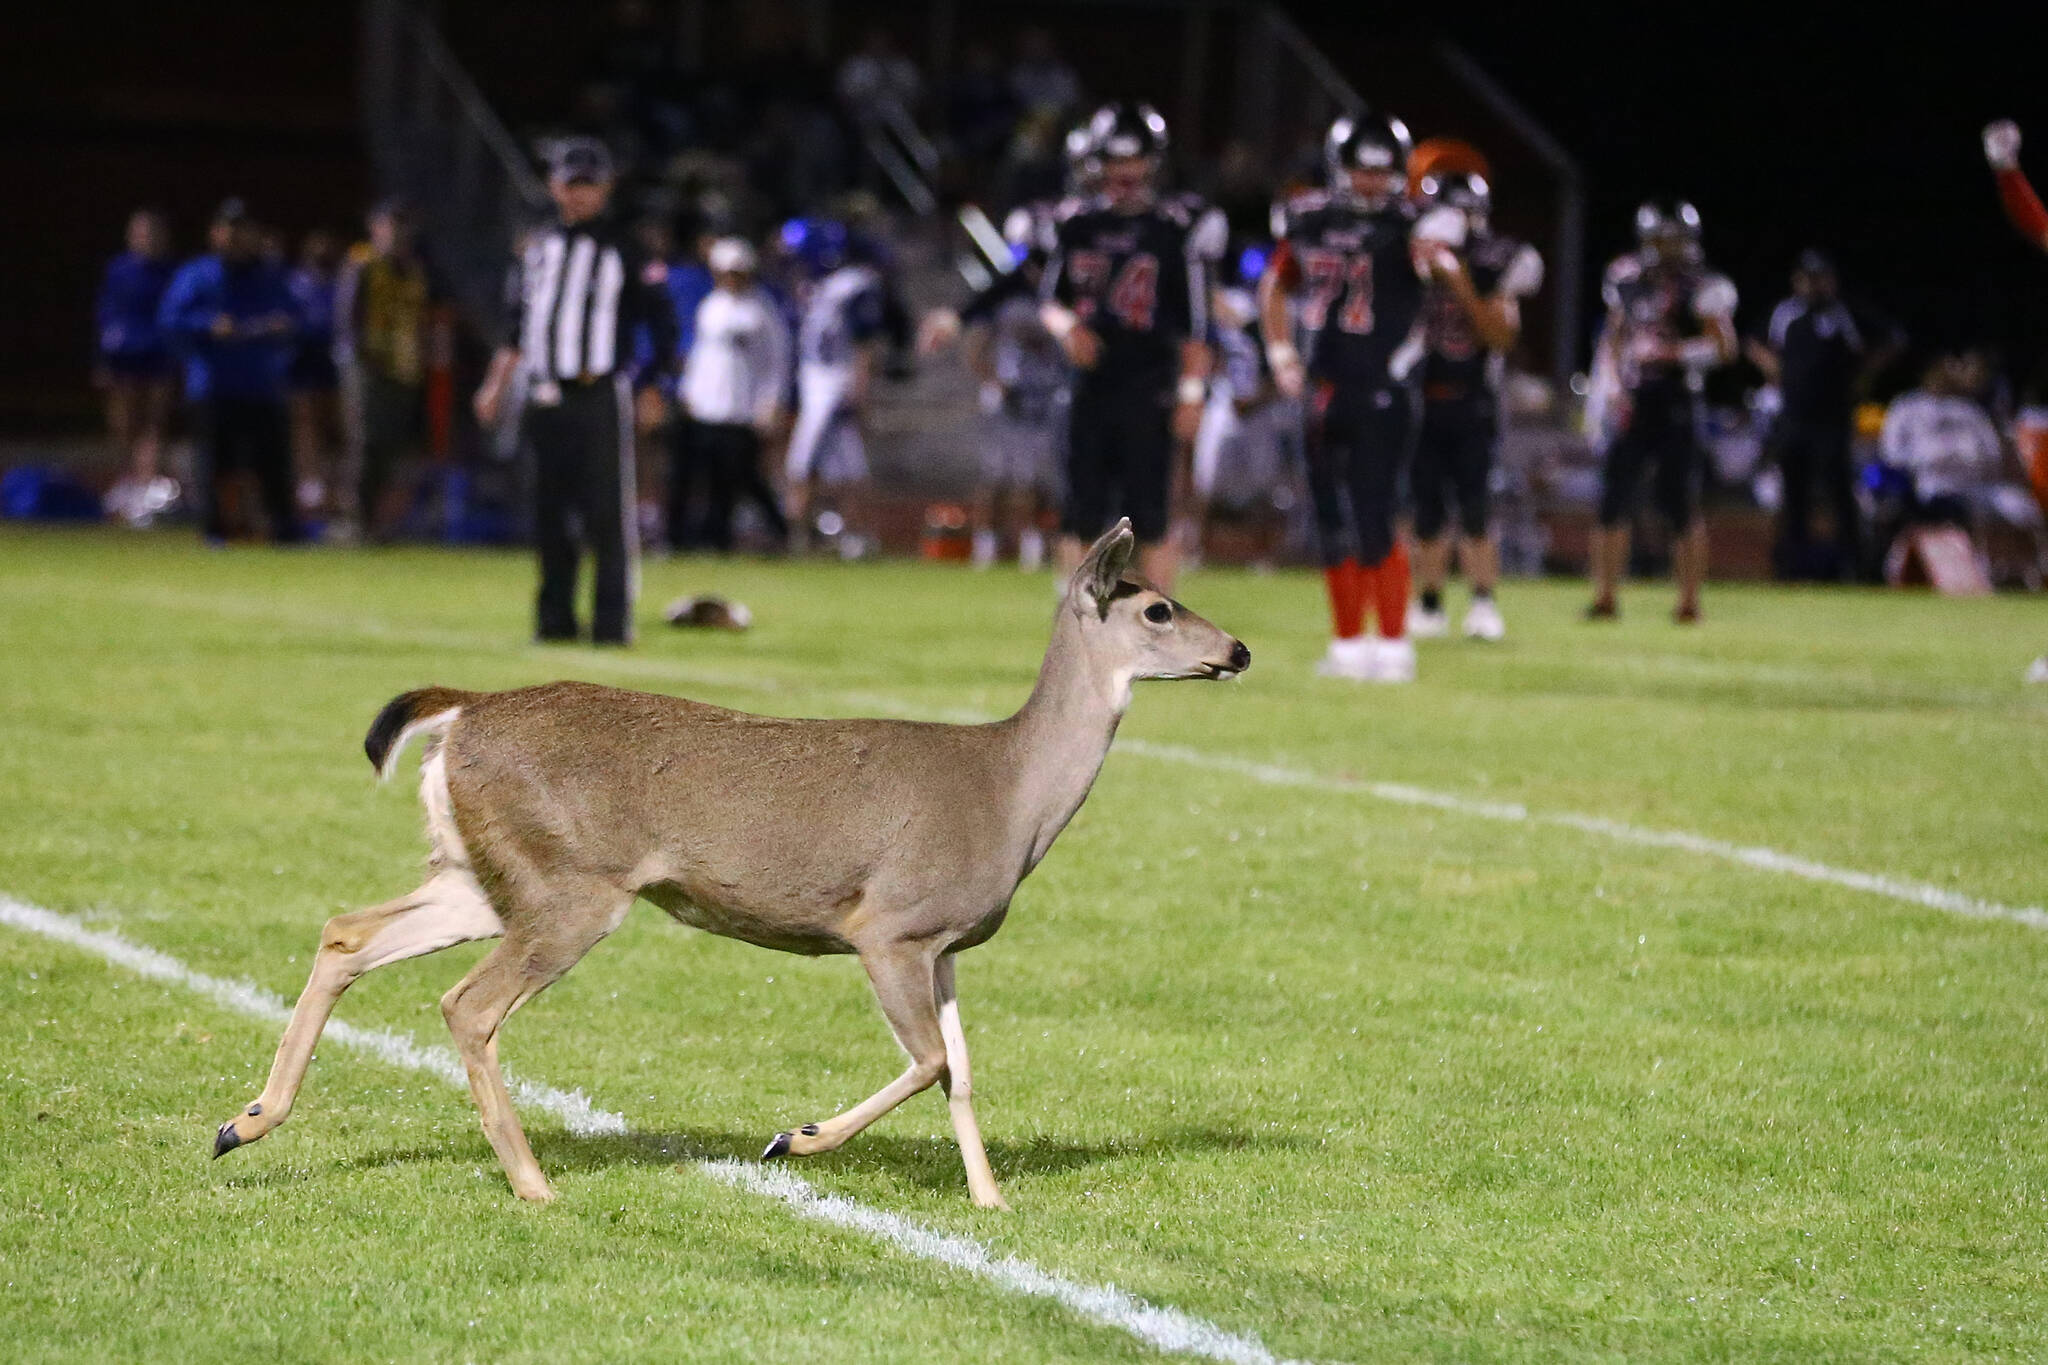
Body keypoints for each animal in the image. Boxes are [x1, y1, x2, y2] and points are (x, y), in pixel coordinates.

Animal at [220, 519, 1245, 1203]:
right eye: (1158, 607)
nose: (1237, 648)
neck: (1009, 792)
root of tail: (465, 709)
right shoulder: (888, 923)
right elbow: (926, 1062)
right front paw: (793, 1138)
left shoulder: (948, 944)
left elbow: (960, 1069)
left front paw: (990, 1198)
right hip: (570, 885)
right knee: (467, 1004)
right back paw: (533, 1182)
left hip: (488, 873)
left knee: (348, 931)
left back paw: (244, 1121)